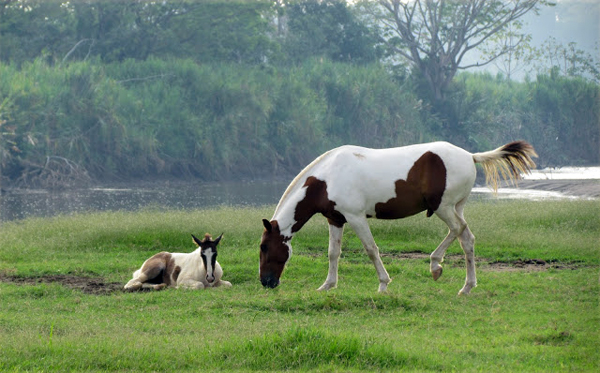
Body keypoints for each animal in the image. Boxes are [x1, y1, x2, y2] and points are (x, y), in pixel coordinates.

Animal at [260, 140, 536, 294]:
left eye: (264, 247)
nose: (266, 282)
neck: (327, 178)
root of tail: (470, 156)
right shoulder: (336, 219)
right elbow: (333, 253)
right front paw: (327, 285)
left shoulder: (356, 217)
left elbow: (371, 250)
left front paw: (383, 284)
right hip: (455, 207)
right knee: (466, 238)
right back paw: (466, 286)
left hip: (444, 208)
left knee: (459, 232)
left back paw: (436, 265)